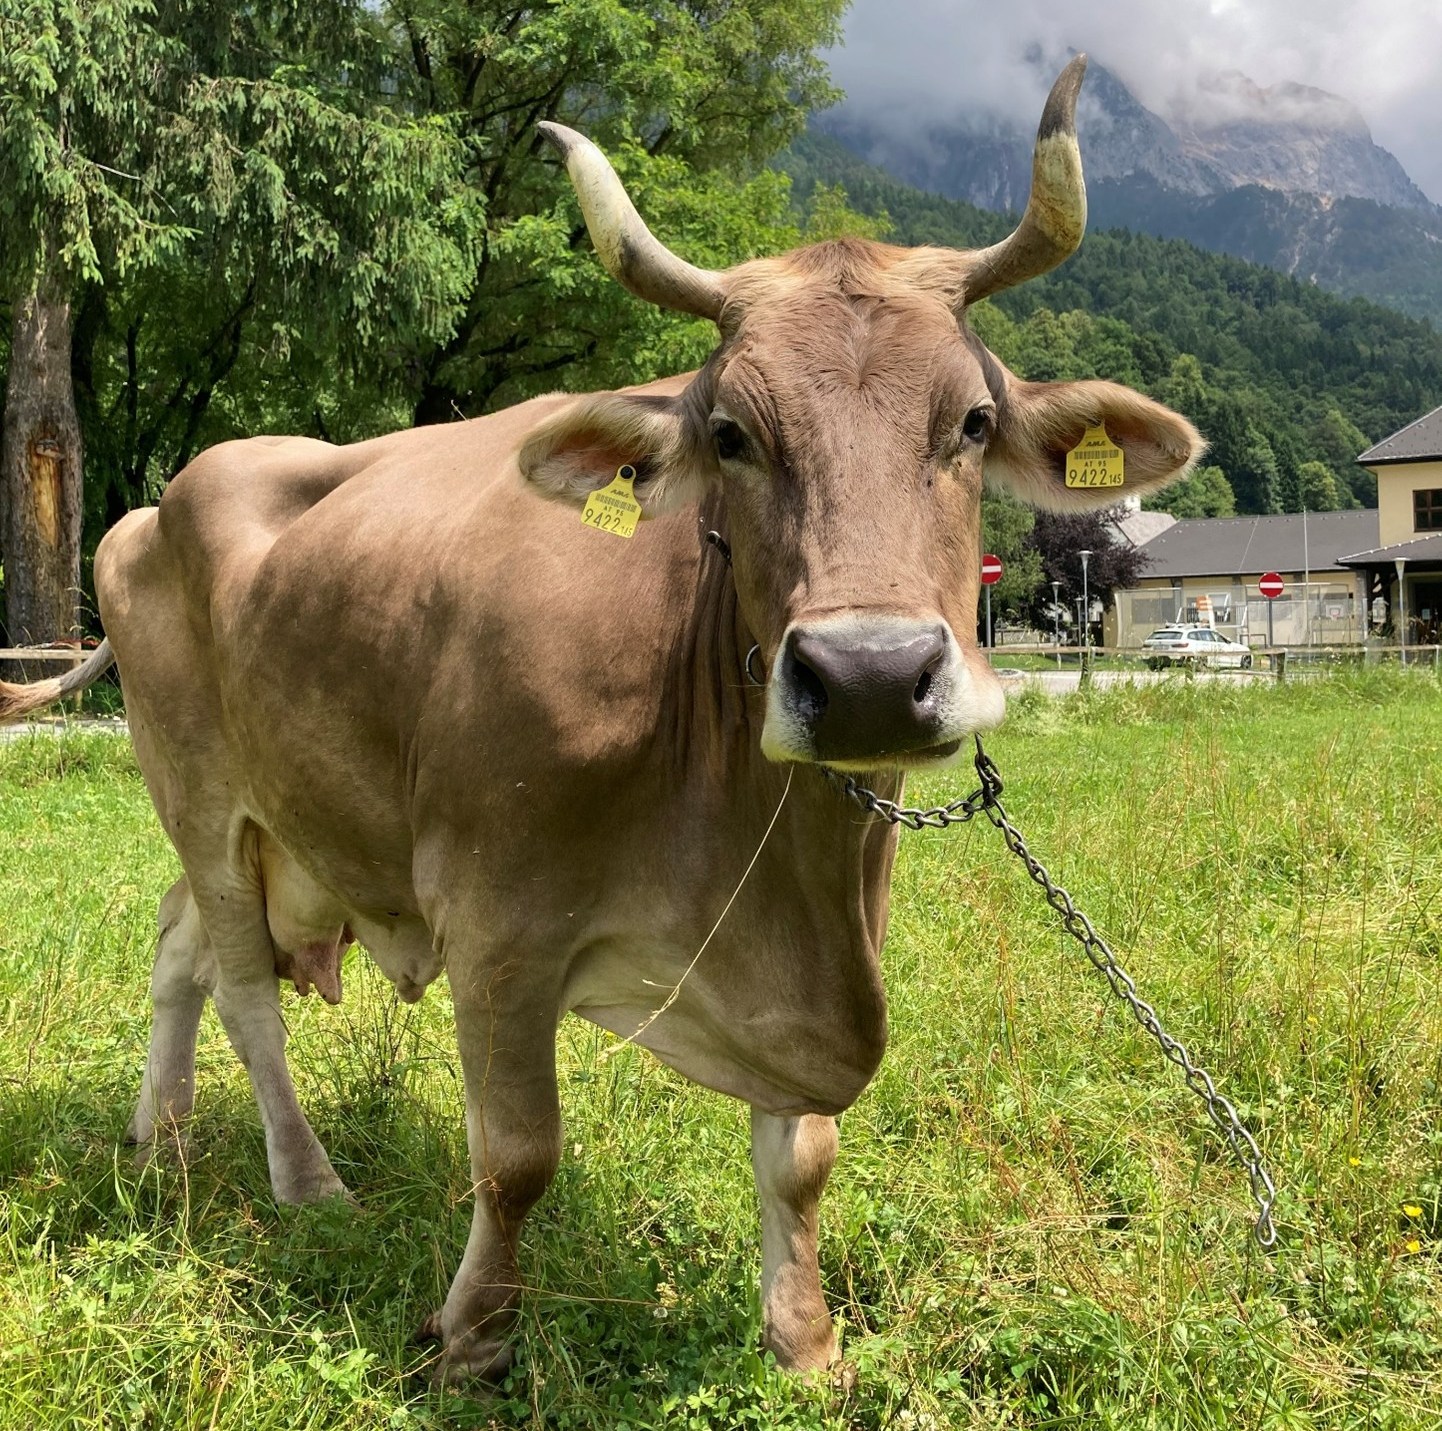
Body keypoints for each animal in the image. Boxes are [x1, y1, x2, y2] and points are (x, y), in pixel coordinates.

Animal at [0, 56, 1201, 1382]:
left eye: (973, 424)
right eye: (730, 433)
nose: (869, 674)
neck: (752, 839)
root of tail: (153, 505)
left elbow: (802, 1157)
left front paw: (804, 1342)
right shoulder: (497, 925)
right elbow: (517, 1157)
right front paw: (471, 1336)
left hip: (286, 819)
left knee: (182, 948)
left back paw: (157, 1139)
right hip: (198, 787)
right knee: (245, 988)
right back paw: (305, 1183)